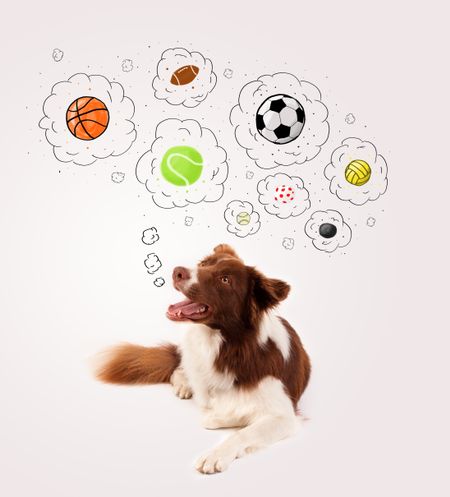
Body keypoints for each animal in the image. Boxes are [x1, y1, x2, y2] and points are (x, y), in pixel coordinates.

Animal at [96, 244, 312, 472]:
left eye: (225, 279)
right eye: (204, 264)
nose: (177, 271)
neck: (229, 346)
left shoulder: (284, 415)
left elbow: (243, 431)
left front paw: (215, 453)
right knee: (179, 369)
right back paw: (184, 385)